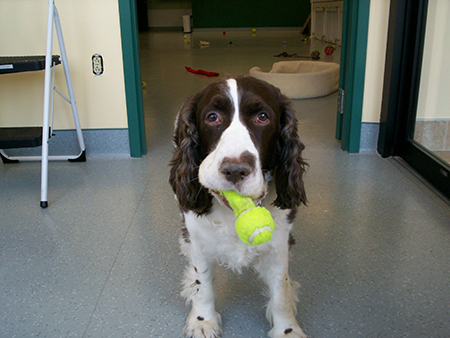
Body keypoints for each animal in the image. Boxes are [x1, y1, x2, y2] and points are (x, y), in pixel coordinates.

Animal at [171, 76, 308, 338]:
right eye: (212, 117)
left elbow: (281, 292)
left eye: (263, 117)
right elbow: (202, 284)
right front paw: (203, 321)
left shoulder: (279, 243)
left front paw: (287, 329)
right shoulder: (199, 239)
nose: (235, 170)